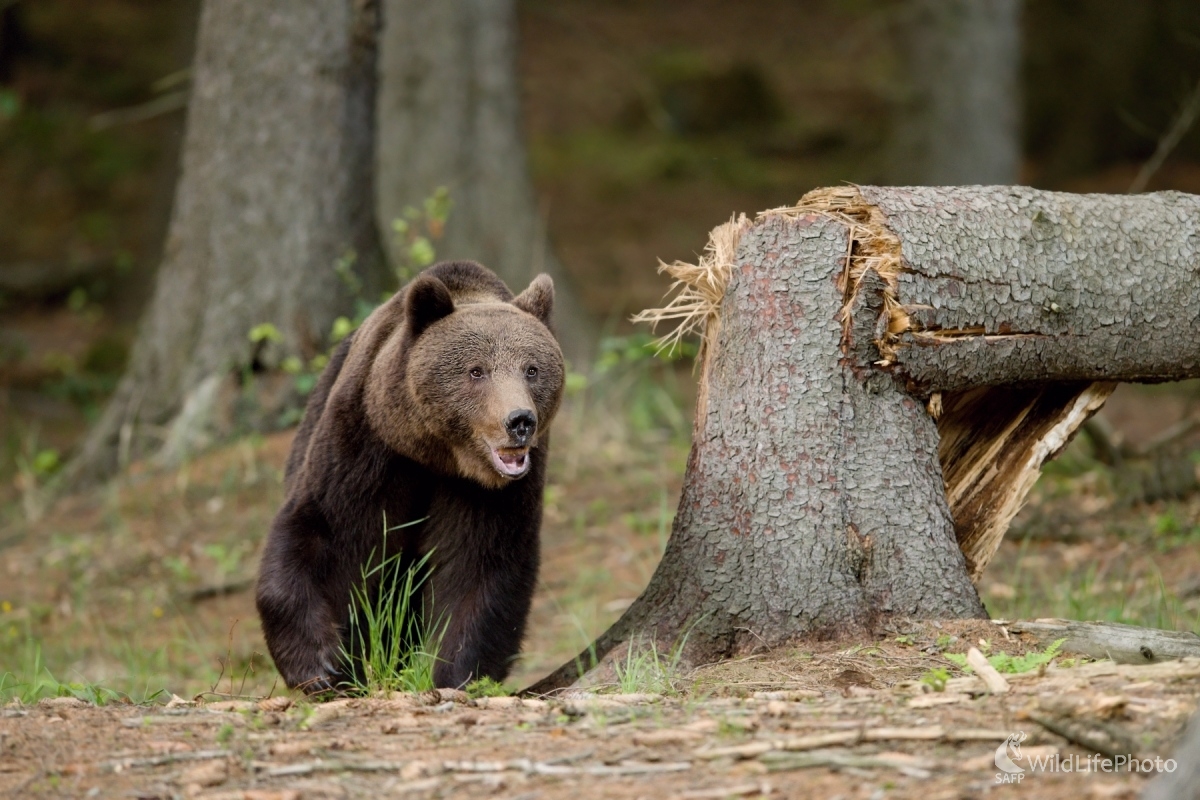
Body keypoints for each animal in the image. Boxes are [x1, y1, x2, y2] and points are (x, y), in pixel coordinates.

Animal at [255, 260, 564, 690]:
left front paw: (457, 674)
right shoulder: (367, 446)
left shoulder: (489, 493)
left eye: (532, 369)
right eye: (476, 371)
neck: (437, 455)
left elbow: (482, 567)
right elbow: (325, 534)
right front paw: (323, 666)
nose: (519, 421)